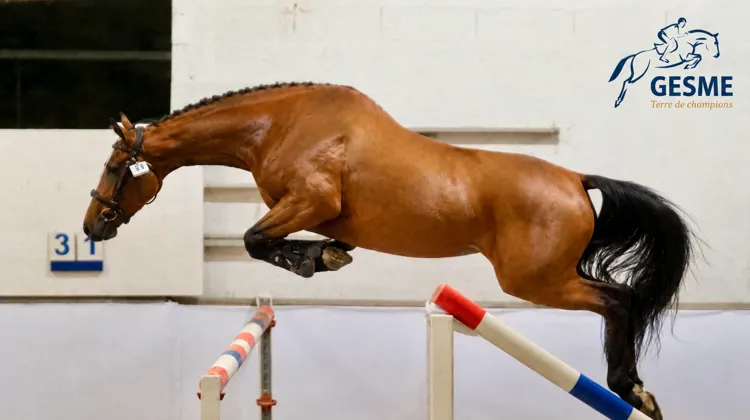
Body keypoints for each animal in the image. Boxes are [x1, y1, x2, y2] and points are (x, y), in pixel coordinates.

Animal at [82, 81, 696, 419]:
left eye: (114, 166)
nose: (93, 226)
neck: (277, 124)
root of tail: (575, 179)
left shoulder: (310, 200)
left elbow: (257, 240)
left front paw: (308, 261)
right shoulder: (325, 215)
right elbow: (298, 241)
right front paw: (325, 257)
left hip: (535, 280)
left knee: (617, 300)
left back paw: (631, 389)